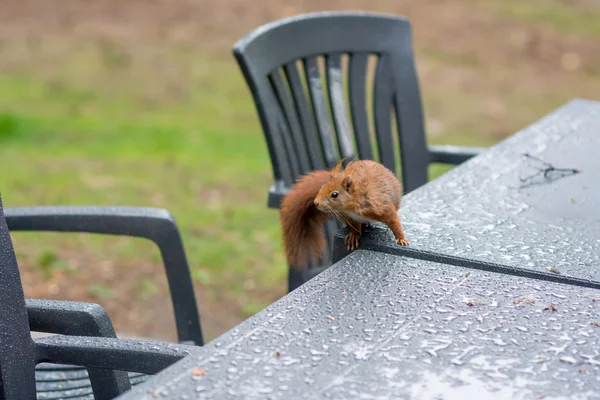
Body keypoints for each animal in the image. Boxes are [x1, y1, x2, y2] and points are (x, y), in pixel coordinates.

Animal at [280, 159, 410, 268]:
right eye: (322, 187)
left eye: (334, 194)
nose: (316, 203)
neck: (351, 207)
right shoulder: (350, 217)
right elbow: (355, 227)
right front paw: (354, 236)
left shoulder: (382, 206)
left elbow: (393, 221)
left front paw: (401, 238)